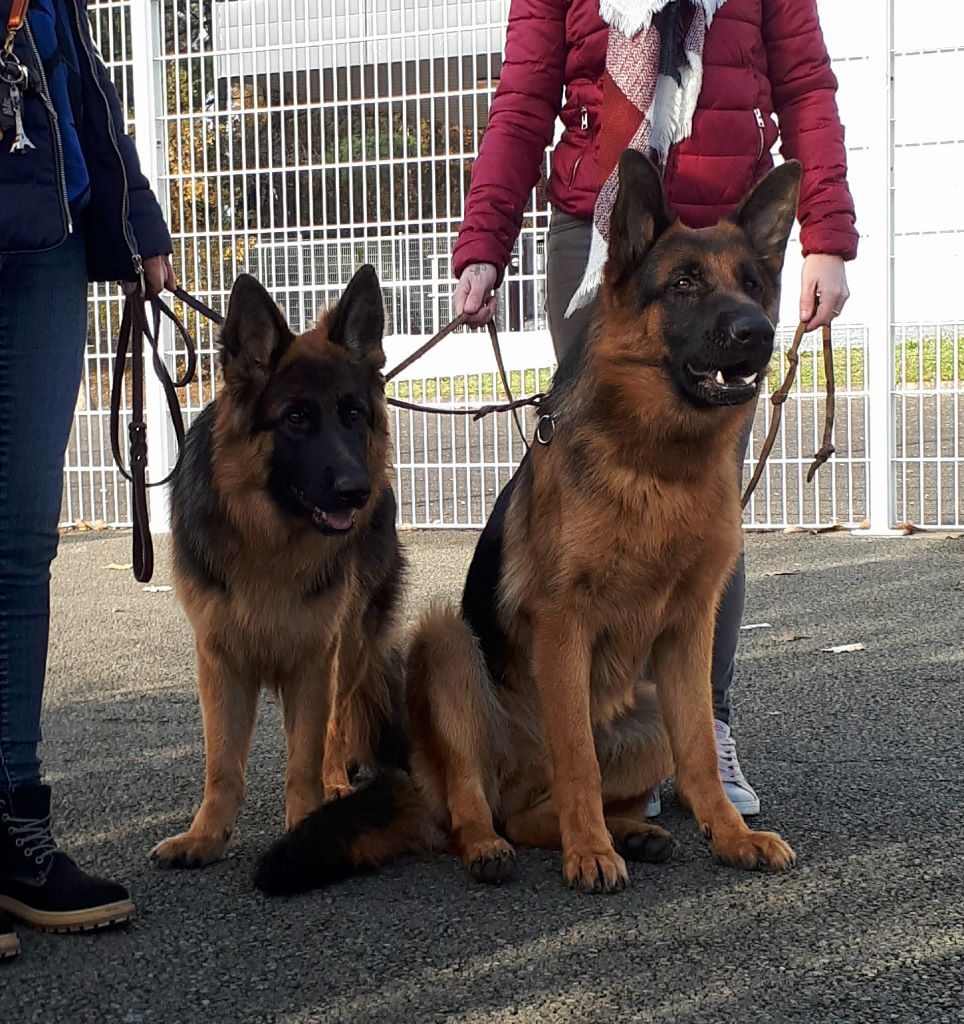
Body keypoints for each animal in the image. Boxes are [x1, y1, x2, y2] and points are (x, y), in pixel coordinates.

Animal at [151, 266, 409, 872]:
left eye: (352, 414)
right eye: (295, 418)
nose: (357, 492)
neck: (267, 541)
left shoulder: (315, 657)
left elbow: (306, 757)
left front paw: (307, 830)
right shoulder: (220, 660)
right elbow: (222, 763)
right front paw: (206, 836)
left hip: (351, 644)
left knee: (336, 727)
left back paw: (336, 784)